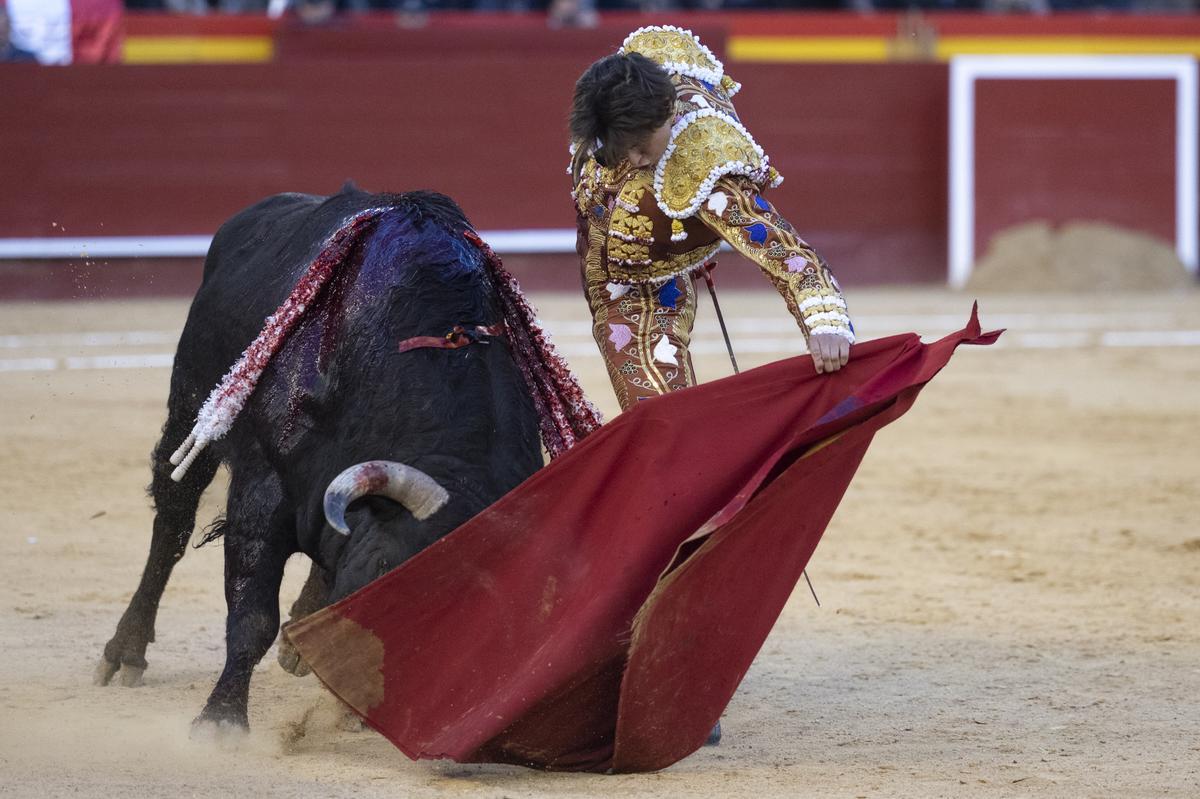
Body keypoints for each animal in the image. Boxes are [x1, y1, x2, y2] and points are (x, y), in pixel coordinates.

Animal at [94, 188, 544, 729]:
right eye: (384, 571)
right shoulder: (263, 492)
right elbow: (252, 616)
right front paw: (221, 720)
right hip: (191, 405)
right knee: (173, 520)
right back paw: (125, 650)